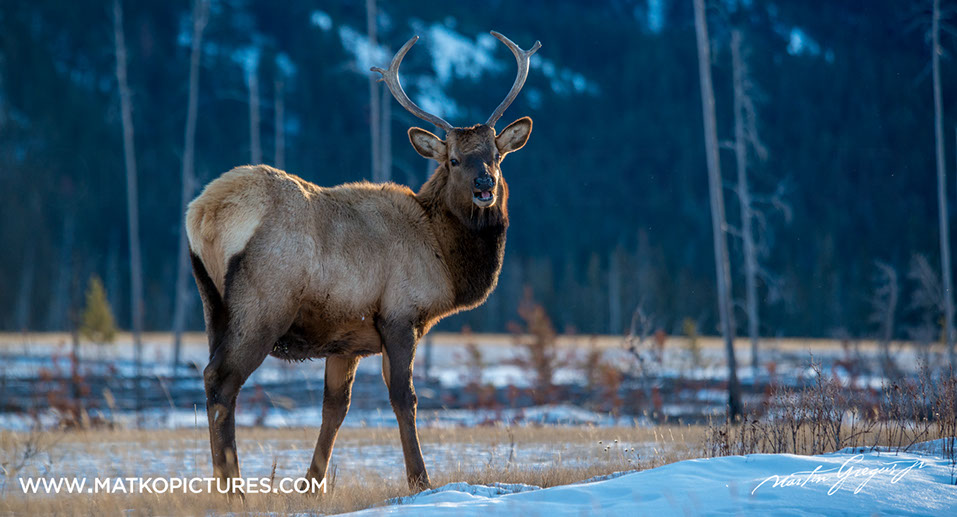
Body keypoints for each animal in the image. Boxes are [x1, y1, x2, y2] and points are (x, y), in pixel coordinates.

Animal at [185, 31, 540, 493]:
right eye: (453, 159)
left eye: (497, 155)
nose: (485, 184)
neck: (443, 256)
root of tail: (202, 214)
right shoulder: (399, 315)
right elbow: (404, 399)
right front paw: (420, 480)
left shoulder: (347, 337)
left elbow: (335, 408)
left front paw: (311, 485)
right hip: (262, 305)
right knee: (221, 380)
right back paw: (235, 491)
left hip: (212, 305)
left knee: (212, 378)